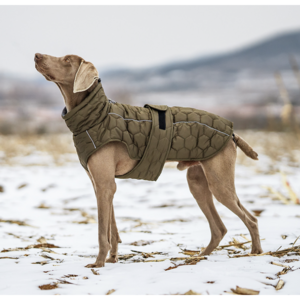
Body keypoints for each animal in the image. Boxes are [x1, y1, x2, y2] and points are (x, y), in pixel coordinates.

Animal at [33, 53, 262, 268]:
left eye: (66, 60)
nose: (36, 55)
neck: (96, 116)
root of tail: (232, 133)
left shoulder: (105, 185)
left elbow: (101, 232)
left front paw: (98, 263)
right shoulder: (101, 185)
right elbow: (112, 229)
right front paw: (112, 259)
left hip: (219, 183)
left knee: (251, 219)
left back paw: (255, 252)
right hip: (198, 183)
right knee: (219, 228)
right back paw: (200, 256)